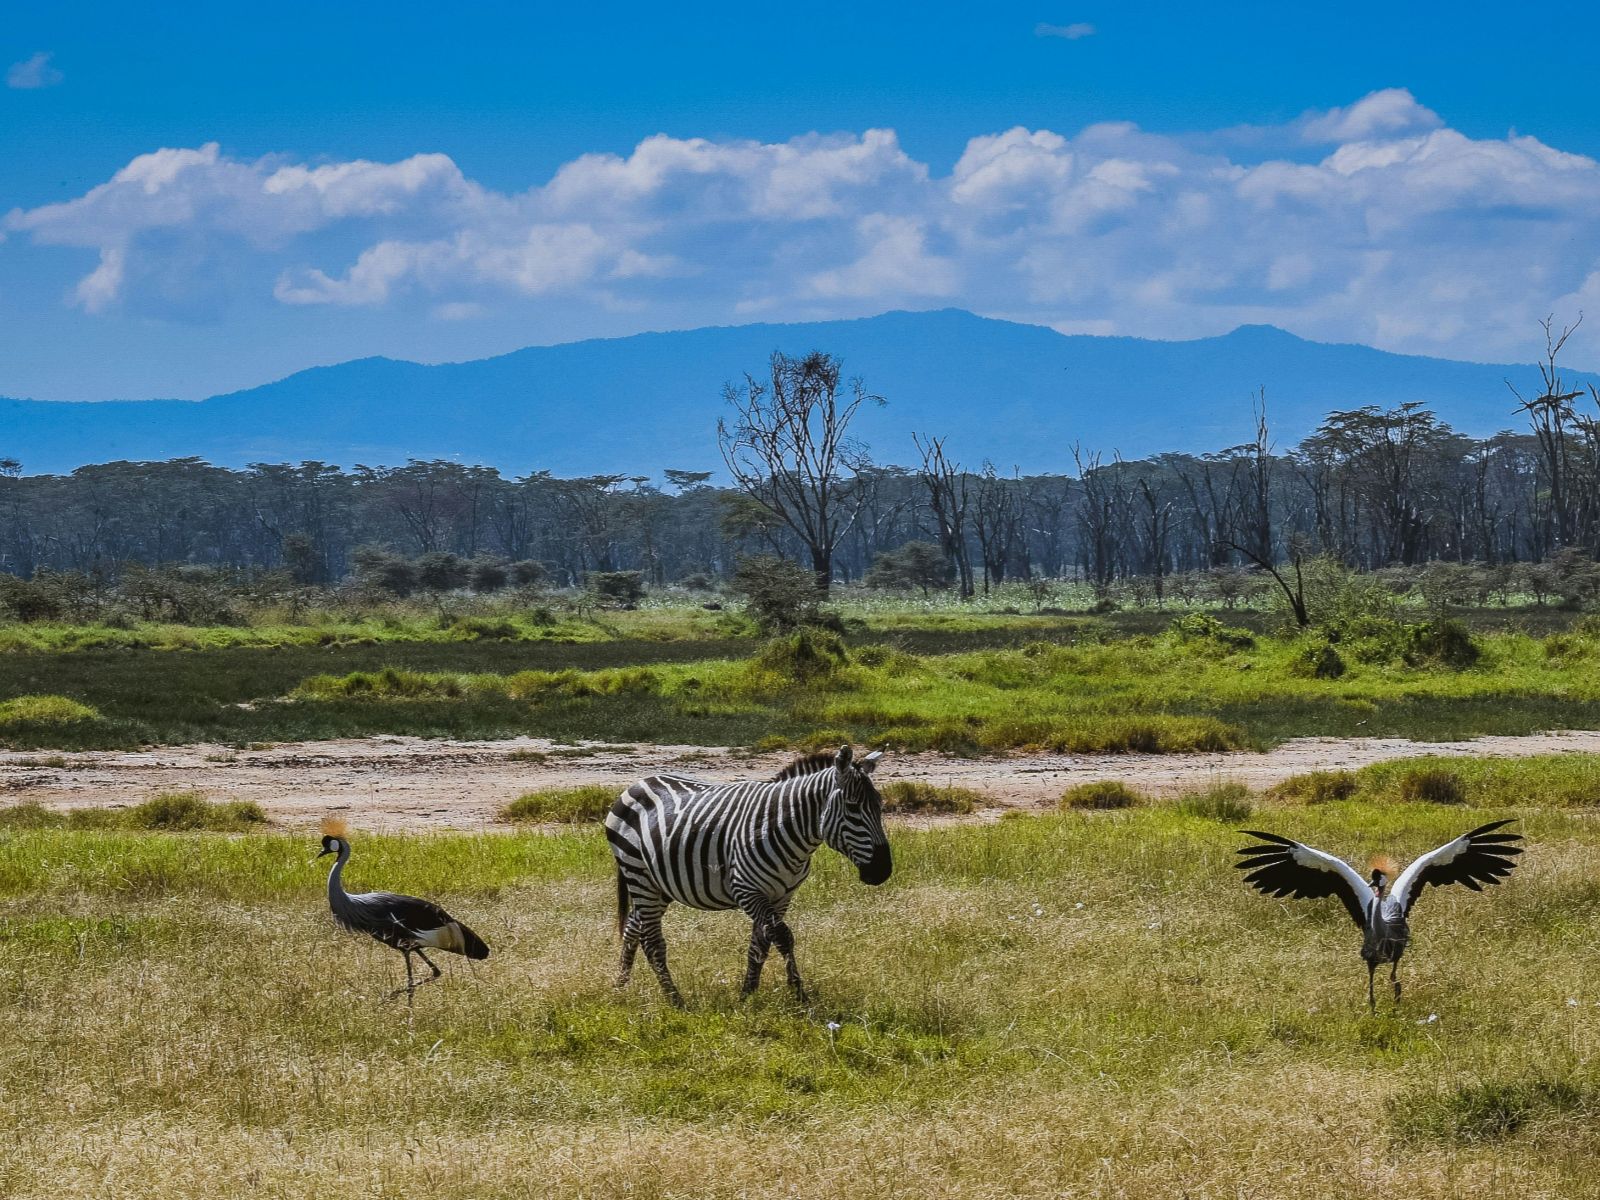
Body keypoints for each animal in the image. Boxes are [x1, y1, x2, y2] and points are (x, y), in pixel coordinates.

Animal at [604, 744, 893, 1006]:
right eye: (853, 807)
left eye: (879, 806)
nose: (883, 871)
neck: (786, 828)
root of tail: (639, 782)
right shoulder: (747, 890)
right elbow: (783, 937)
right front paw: (799, 995)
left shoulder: (782, 895)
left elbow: (760, 943)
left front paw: (747, 995)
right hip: (638, 873)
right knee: (652, 941)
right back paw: (675, 1001)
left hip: (658, 883)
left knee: (634, 927)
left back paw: (620, 986)